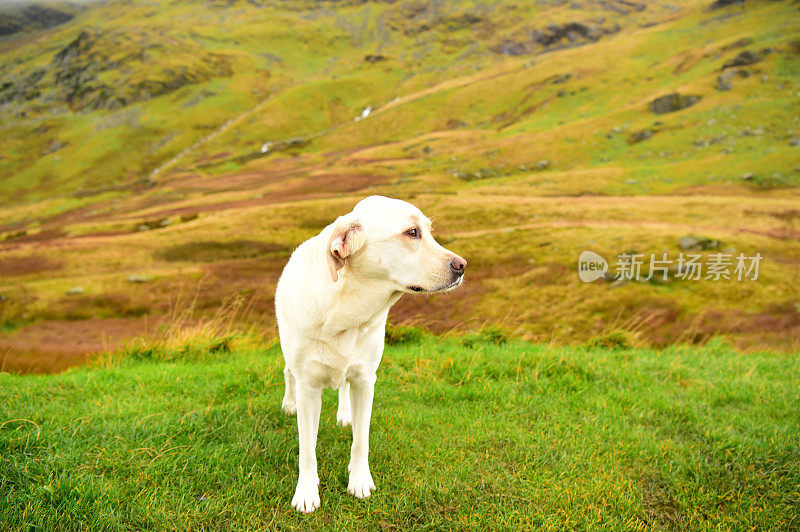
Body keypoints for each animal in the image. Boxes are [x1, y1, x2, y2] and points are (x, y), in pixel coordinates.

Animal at [276, 195, 466, 512]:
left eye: (429, 231)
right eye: (412, 233)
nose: (463, 266)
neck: (346, 311)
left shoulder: (366, 380)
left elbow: (360, 440)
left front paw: (359, 480)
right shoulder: (308, 388)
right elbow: (307, 449)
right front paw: (306, 492)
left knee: (343, 385)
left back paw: (345, 414)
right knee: (287, 373)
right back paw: (288, 404)